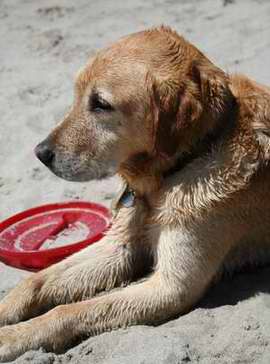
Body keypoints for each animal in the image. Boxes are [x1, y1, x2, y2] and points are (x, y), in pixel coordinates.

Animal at [0, 26, 270, 362]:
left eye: (101, 103)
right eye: (76, 95)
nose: (40, 153)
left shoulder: (172, 287)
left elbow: (69, 311)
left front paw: (12, 336)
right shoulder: (120, 245)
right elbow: (36, 280)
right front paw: (6, 311)